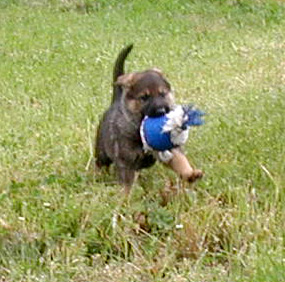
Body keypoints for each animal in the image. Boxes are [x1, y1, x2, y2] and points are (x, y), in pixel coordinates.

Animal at [94, 44, 201, 194]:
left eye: (162, 94)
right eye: (144, 97)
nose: (161, 111)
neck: (139, 128)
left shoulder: (169, 150)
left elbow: (180, 161)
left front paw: (190, 174)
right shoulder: (126, 163)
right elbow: (126, 185)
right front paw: (124, 198)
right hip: (102, 153)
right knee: (99, 164)